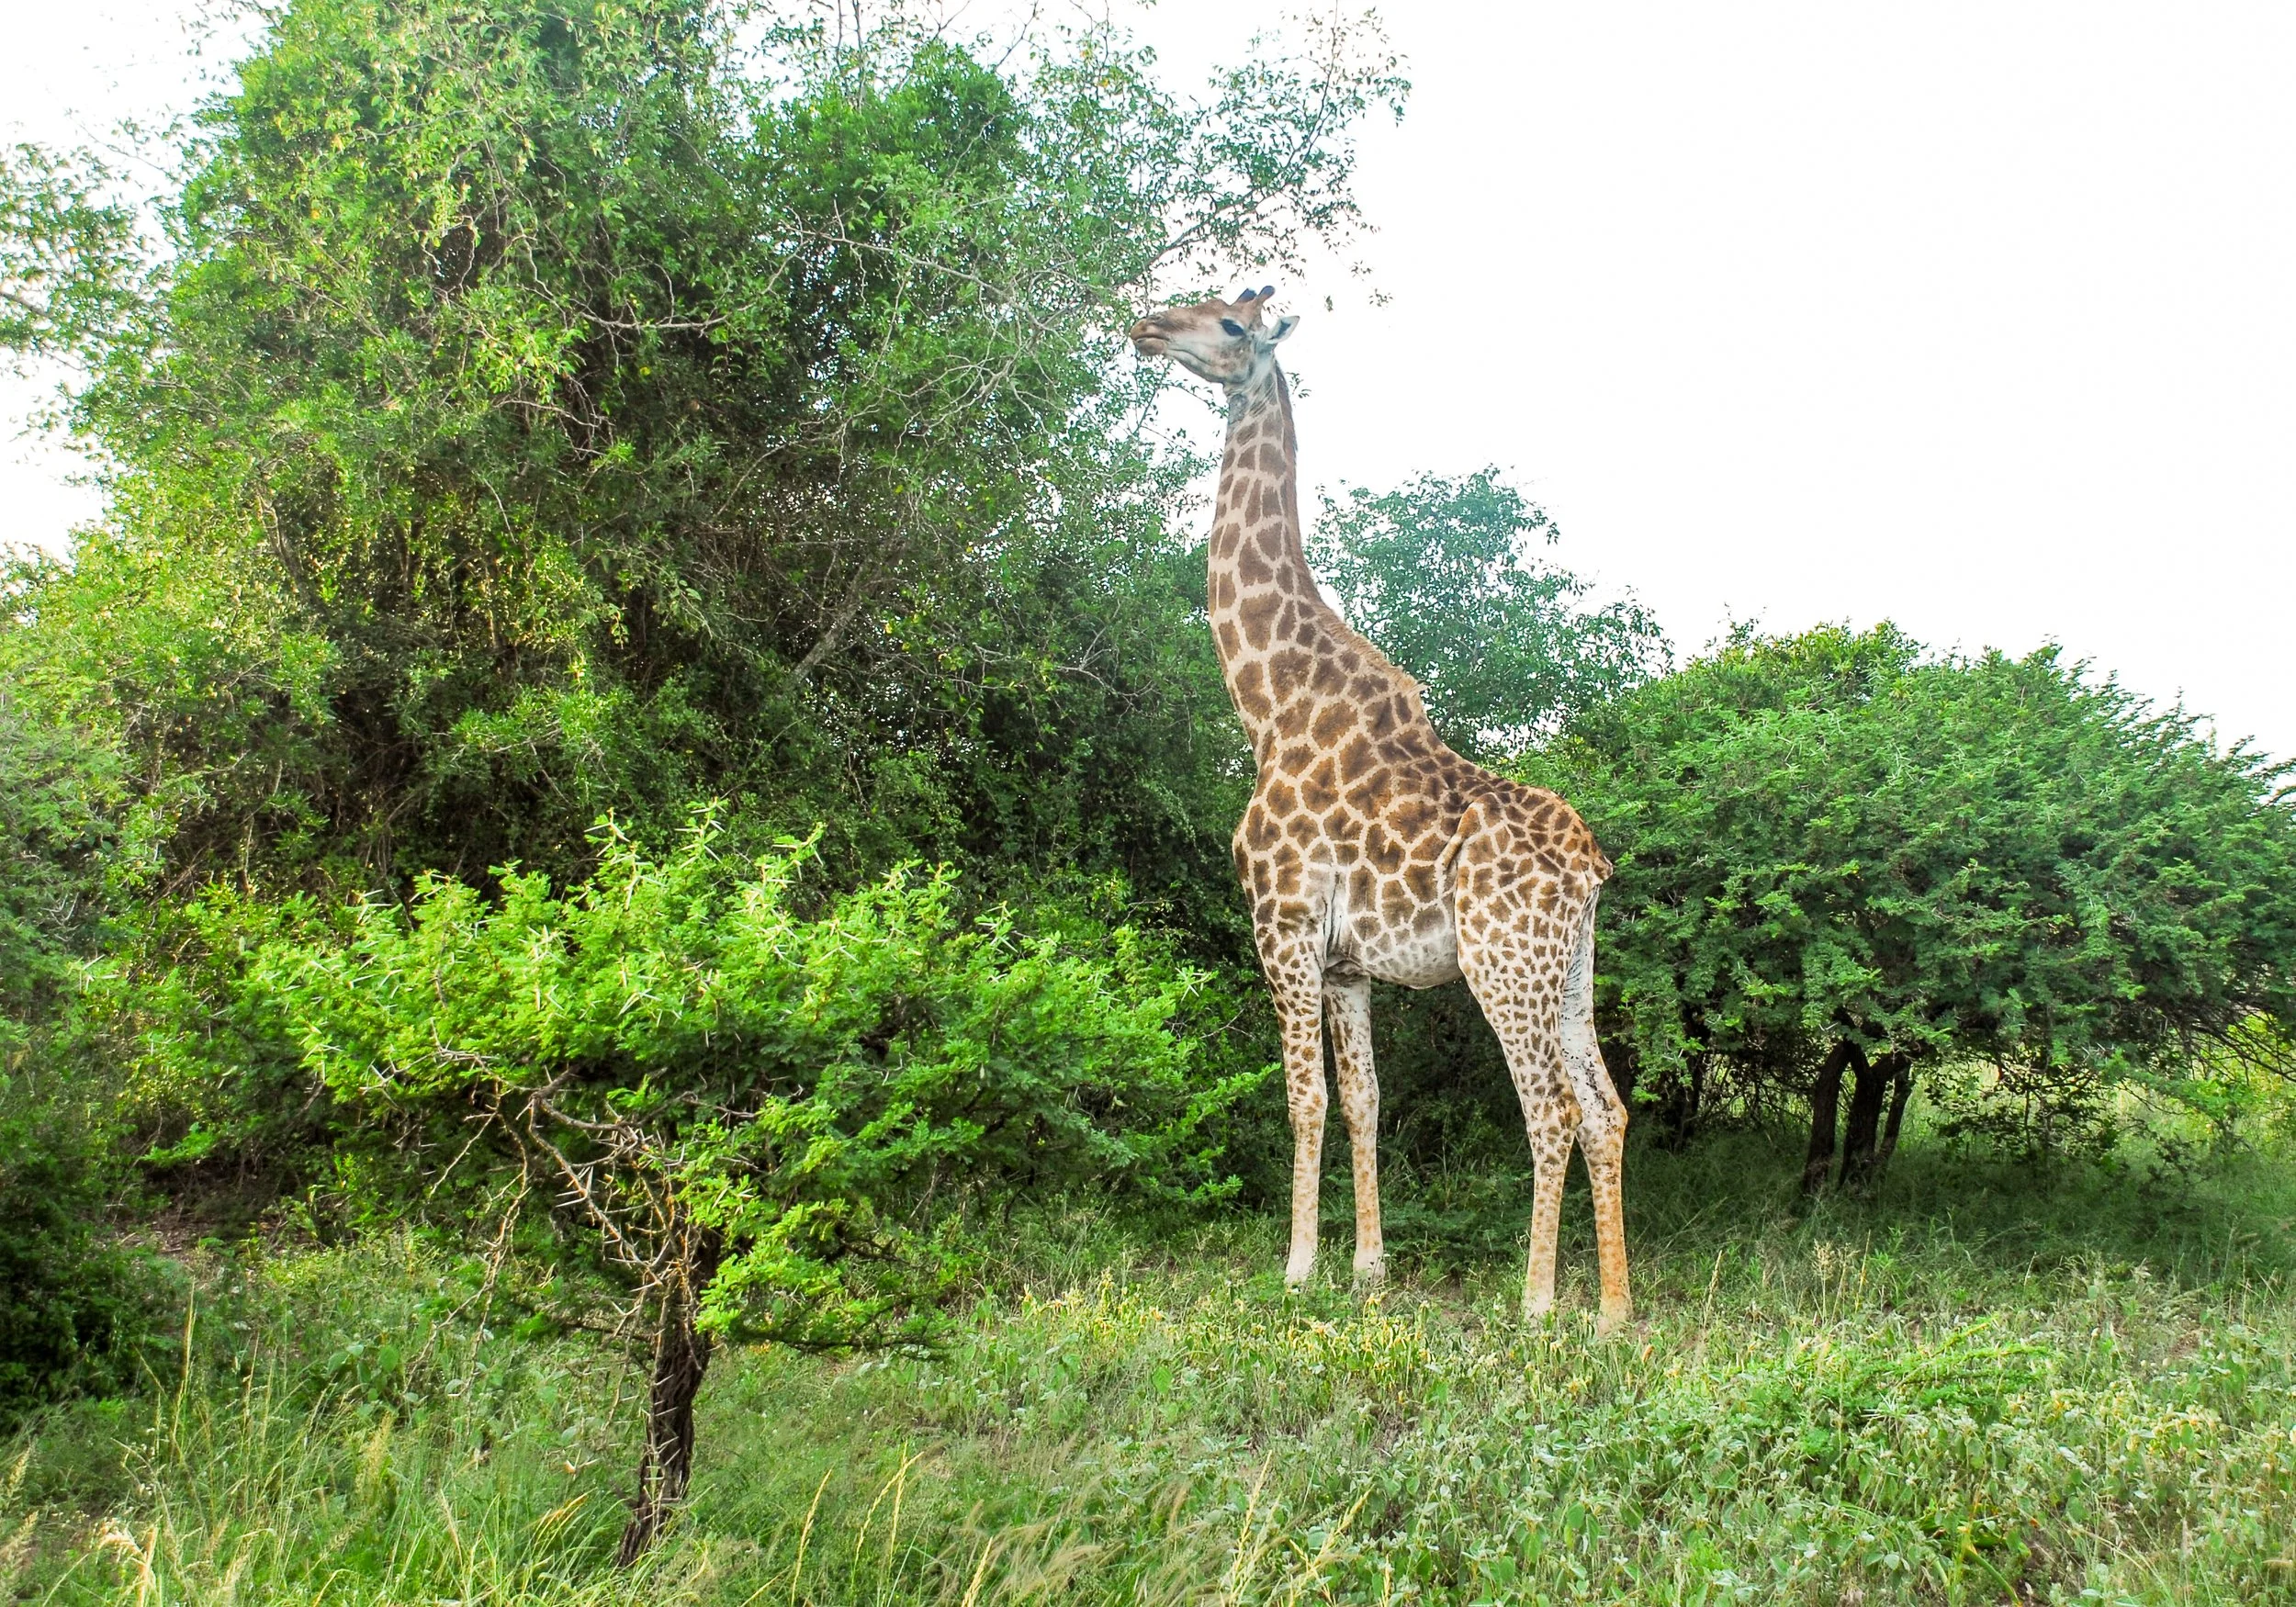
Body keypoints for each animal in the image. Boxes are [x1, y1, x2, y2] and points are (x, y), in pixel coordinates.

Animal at [1129, 287, 1633, 1334]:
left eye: (1230, 324)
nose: (1146, 326)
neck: (1267, 701)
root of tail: (1590, 867)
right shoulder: (1346, 963)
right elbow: (1362, 1098)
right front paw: (1368, 1266)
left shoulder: (1279, 925)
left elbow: (1303, 1100)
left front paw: (1296, 1267)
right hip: (1570, 968)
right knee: (1605, 1106)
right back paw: (1612, 1311)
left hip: (1503, 965)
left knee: (1553, 1108)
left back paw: (1536, 1304)